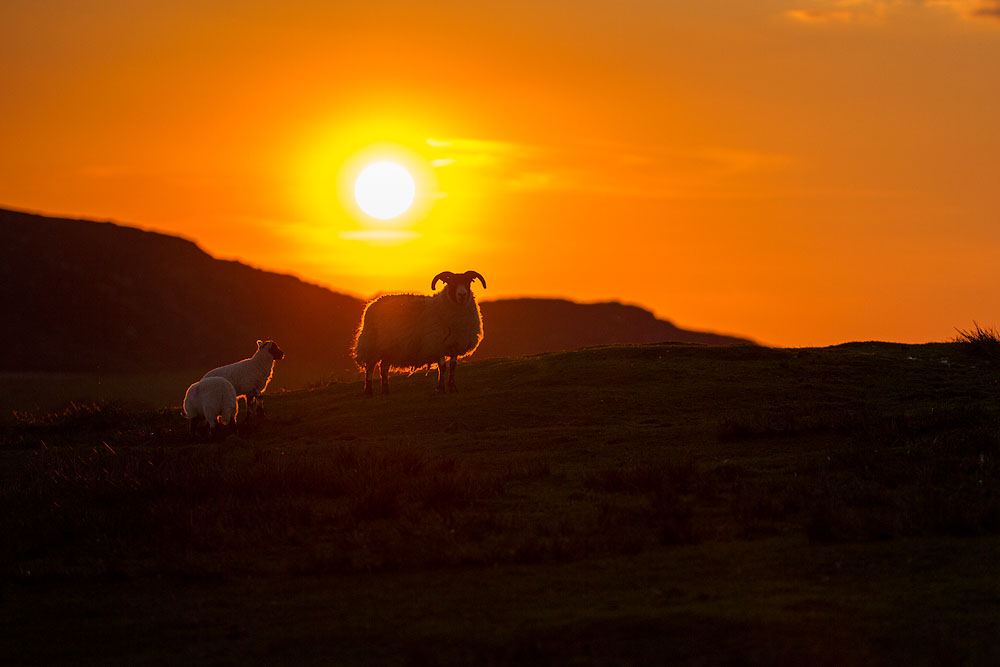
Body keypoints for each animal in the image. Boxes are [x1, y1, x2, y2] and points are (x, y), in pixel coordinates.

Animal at [354, 272, 486, 396]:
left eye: (468, 282)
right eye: (452, 283)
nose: (462, 295)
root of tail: (372, 303)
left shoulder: (455, 345)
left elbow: (453, 366)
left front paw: (452, 388)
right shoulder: (436, 344)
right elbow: (442, 367)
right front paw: (440, 389)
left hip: (389, 348)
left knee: (384, 368)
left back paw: (386, 391)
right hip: (372, 345)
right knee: (370, 367)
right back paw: (368, 392)